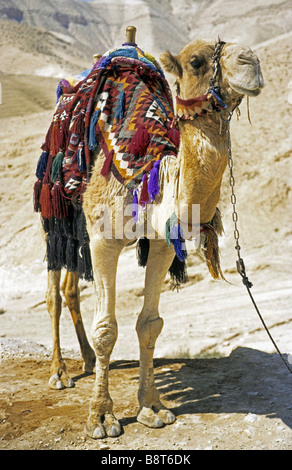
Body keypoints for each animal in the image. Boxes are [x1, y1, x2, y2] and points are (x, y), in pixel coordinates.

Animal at [40, 29, 264, 440]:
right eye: (196, 61)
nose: (251, 61)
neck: (150, 172)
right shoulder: (103, 238)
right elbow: (107, 328)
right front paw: (101, 417)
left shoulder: (162, 243)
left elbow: (149, 325)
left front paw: (153, 407)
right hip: (56, 214)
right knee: (53, 294)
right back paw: (60, 373)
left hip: (78, 231)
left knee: (69, 288)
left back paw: (86, 360)